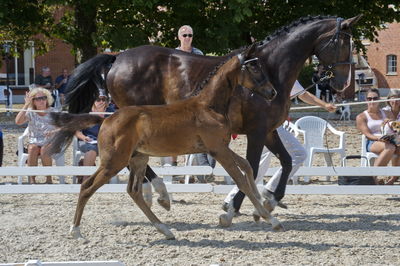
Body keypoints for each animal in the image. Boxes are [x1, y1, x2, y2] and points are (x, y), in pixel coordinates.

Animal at [49, 44, 282, 241]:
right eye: (253, 67)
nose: (272, 92)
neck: (208, 106)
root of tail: (106, 119)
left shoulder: (218, 148)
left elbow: (247, 167)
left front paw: (264, 208)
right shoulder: (218, 150)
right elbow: (240, 179)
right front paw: (271, 219)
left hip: (138, 159)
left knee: (134, 191)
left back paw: (165, 229)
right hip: (113, 161)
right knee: (87, 186)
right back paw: (76, 231)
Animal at [65, 16, 360, 212]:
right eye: (343, 43)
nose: (342, 84)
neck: (269, 68)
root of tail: (117, 58)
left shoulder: (268, 131)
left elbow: (286, 162)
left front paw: (271, 198)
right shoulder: (256, 132)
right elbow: (251, 168)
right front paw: (235, 205)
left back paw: (155, 193)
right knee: (130, 161)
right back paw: (160, 191)